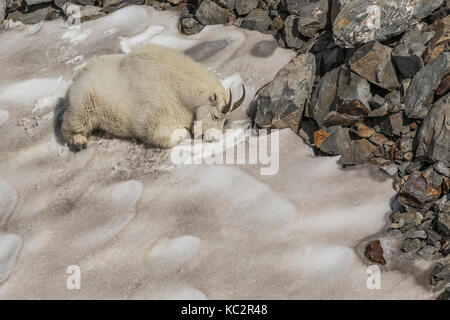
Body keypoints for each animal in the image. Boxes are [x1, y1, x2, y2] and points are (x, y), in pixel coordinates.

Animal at [61, 43, 244, 149]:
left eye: (225, 120)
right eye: (215, 116)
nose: (215, 138)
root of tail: (77, 77)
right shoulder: (153, 118)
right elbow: (174, 133)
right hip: (83, 103)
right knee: (70, 124)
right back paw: (79, 141)